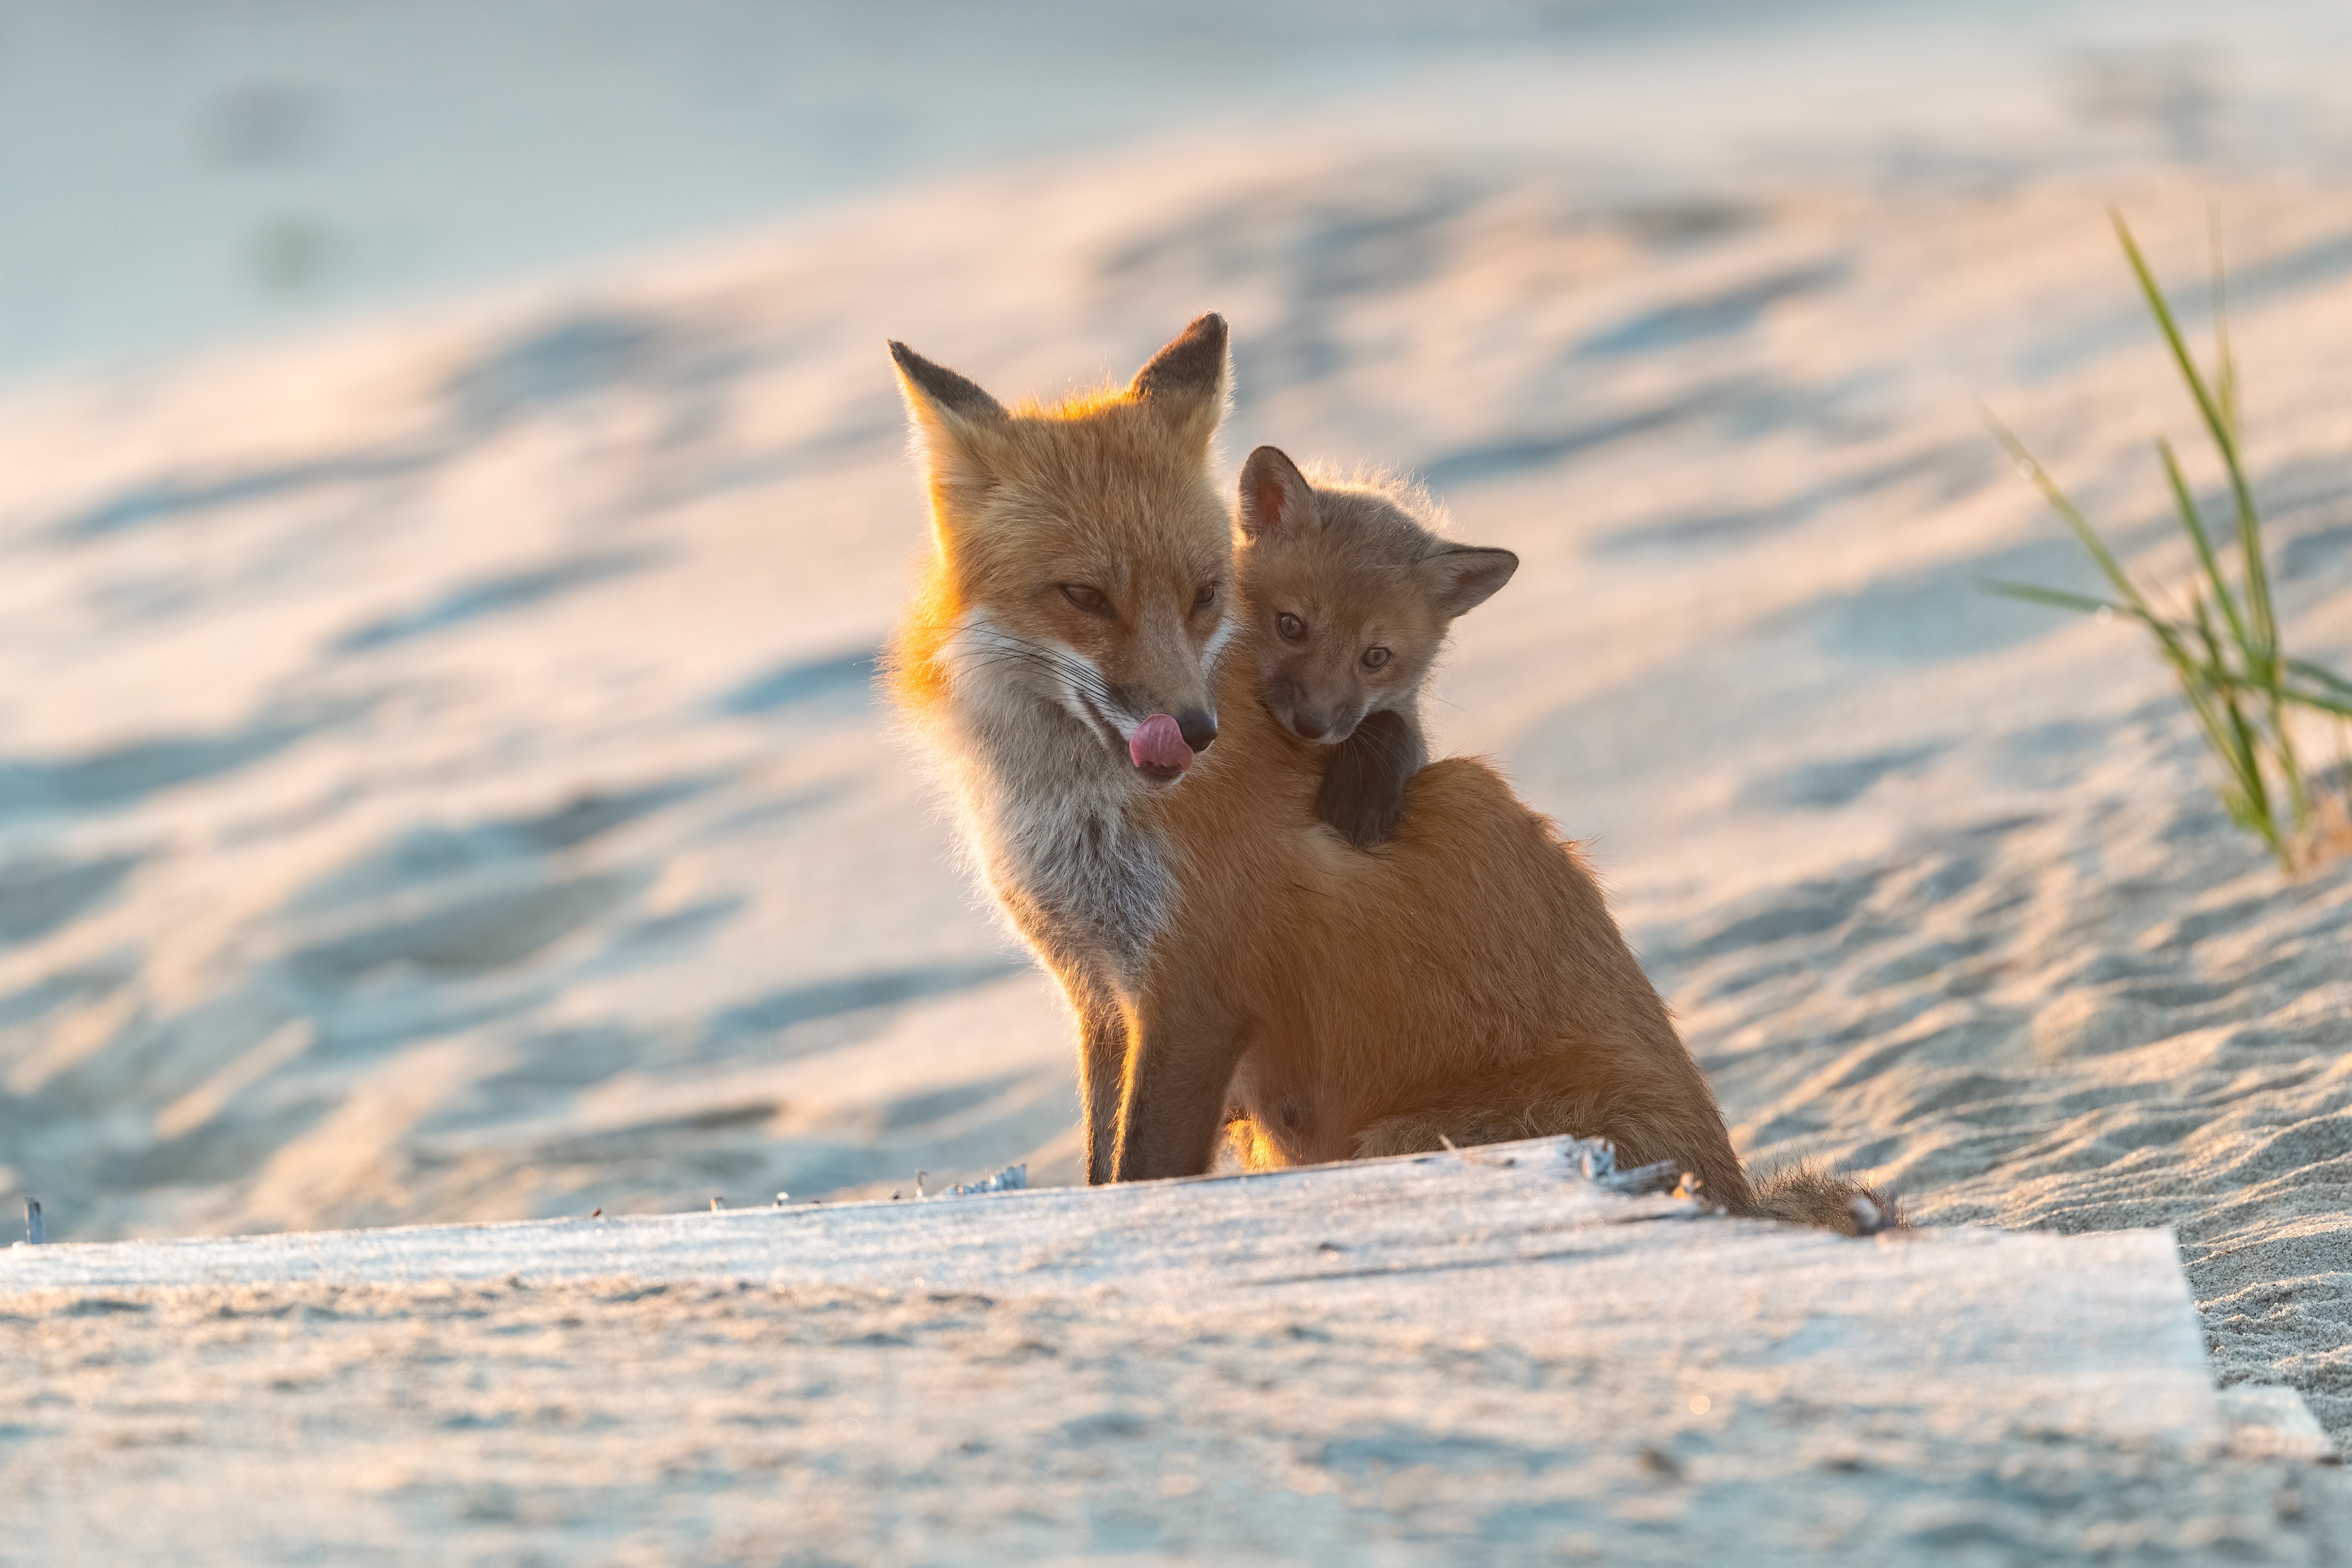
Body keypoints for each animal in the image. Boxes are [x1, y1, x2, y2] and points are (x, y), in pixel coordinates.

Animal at [884, 313, 1893, 1234]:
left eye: (1205, 594)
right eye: (1084, 597)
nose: (1196, 732)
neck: (1066, 808)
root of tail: (1733, 1191)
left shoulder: (1192, 991)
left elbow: (1139, 1174)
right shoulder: (1100, 991)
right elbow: (1101, 1166)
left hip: (1397, 1137)